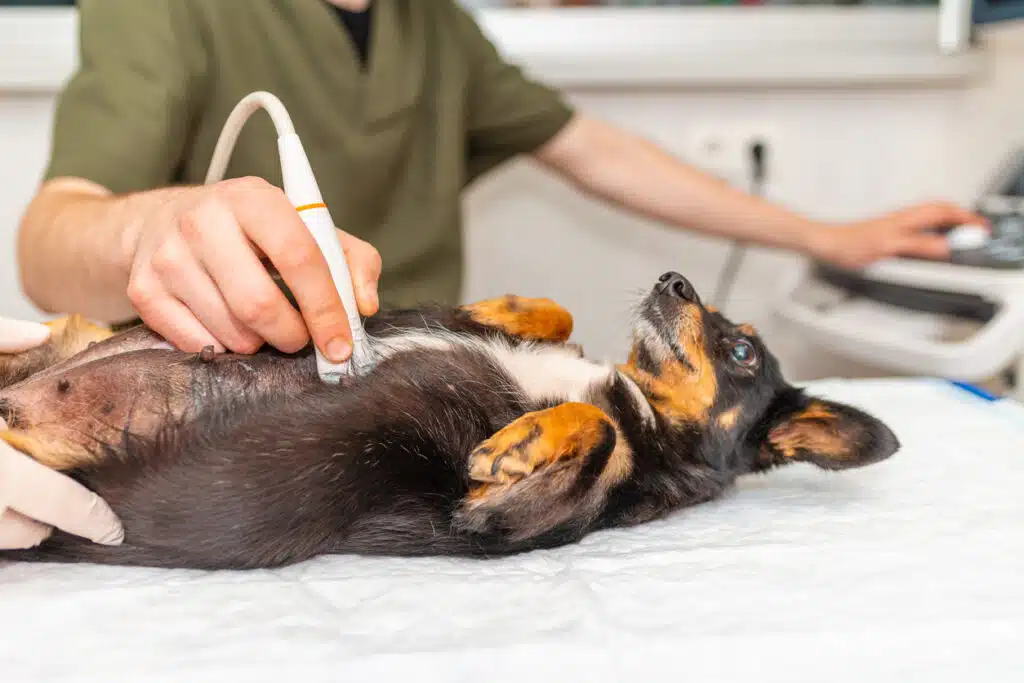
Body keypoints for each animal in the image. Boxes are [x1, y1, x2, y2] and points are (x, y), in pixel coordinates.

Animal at [0, 272, 897, 573]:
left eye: (742, 348)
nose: (673, 279)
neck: (640, 401)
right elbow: (554, 313)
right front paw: (503, 309)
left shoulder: (489, 523)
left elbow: (599, 435)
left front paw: (518, 442)